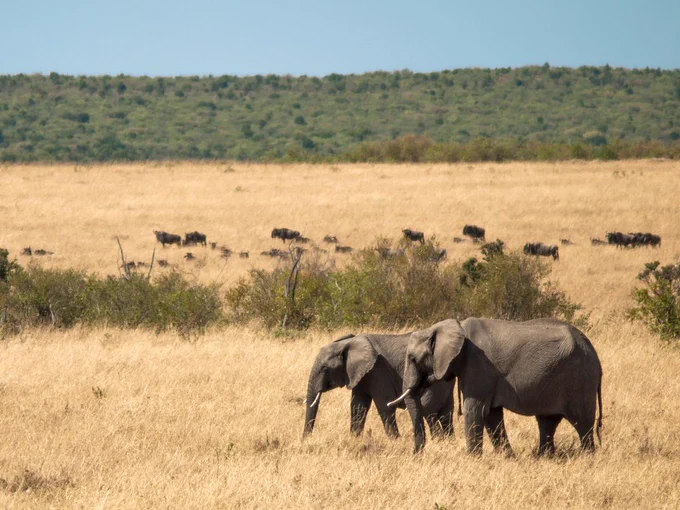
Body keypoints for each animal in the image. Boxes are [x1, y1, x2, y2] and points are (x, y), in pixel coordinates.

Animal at [303, 333, 456, 441]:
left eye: (325, 368)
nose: (305, 440)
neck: (348, 343)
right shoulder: (360, 374)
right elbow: (358, 406)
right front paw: (355, 439)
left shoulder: (379, 370)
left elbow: (384, 405)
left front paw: (395, 440)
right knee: (445, 413)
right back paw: (448, 442)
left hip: (436, 379)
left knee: (428, 410)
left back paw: (438, 441)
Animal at [389, 318, 602, 455]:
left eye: (413, 358)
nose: (415, 455)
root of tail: (594, 354)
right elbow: (491, 415)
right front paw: (507, 457)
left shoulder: (478, 364)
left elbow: (475, 410)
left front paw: (472, 459)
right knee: (547, 421)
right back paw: (544, 457)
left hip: (579, 379)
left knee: (582, 422)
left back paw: (587, 457)